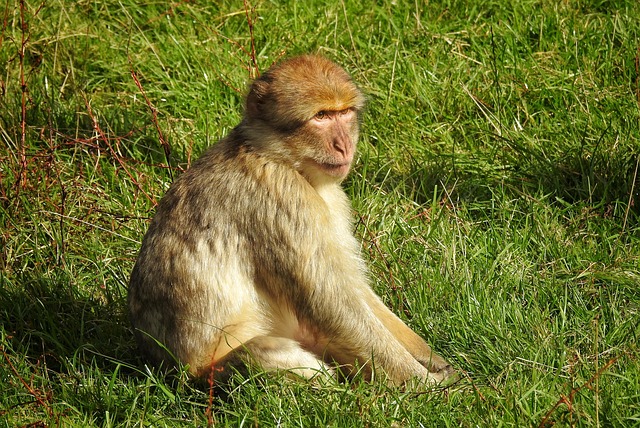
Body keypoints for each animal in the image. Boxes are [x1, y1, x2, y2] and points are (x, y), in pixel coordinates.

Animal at [128, 54, 454, 386]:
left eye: (344, 112)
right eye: (321, 116)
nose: (344, 145)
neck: (278, 157)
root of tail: (168, 368)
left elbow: (350, 286)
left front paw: (433, 361)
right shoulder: (282, 197)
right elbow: (330, 302)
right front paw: (424, 385)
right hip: (212, 373)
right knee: (264, 353)